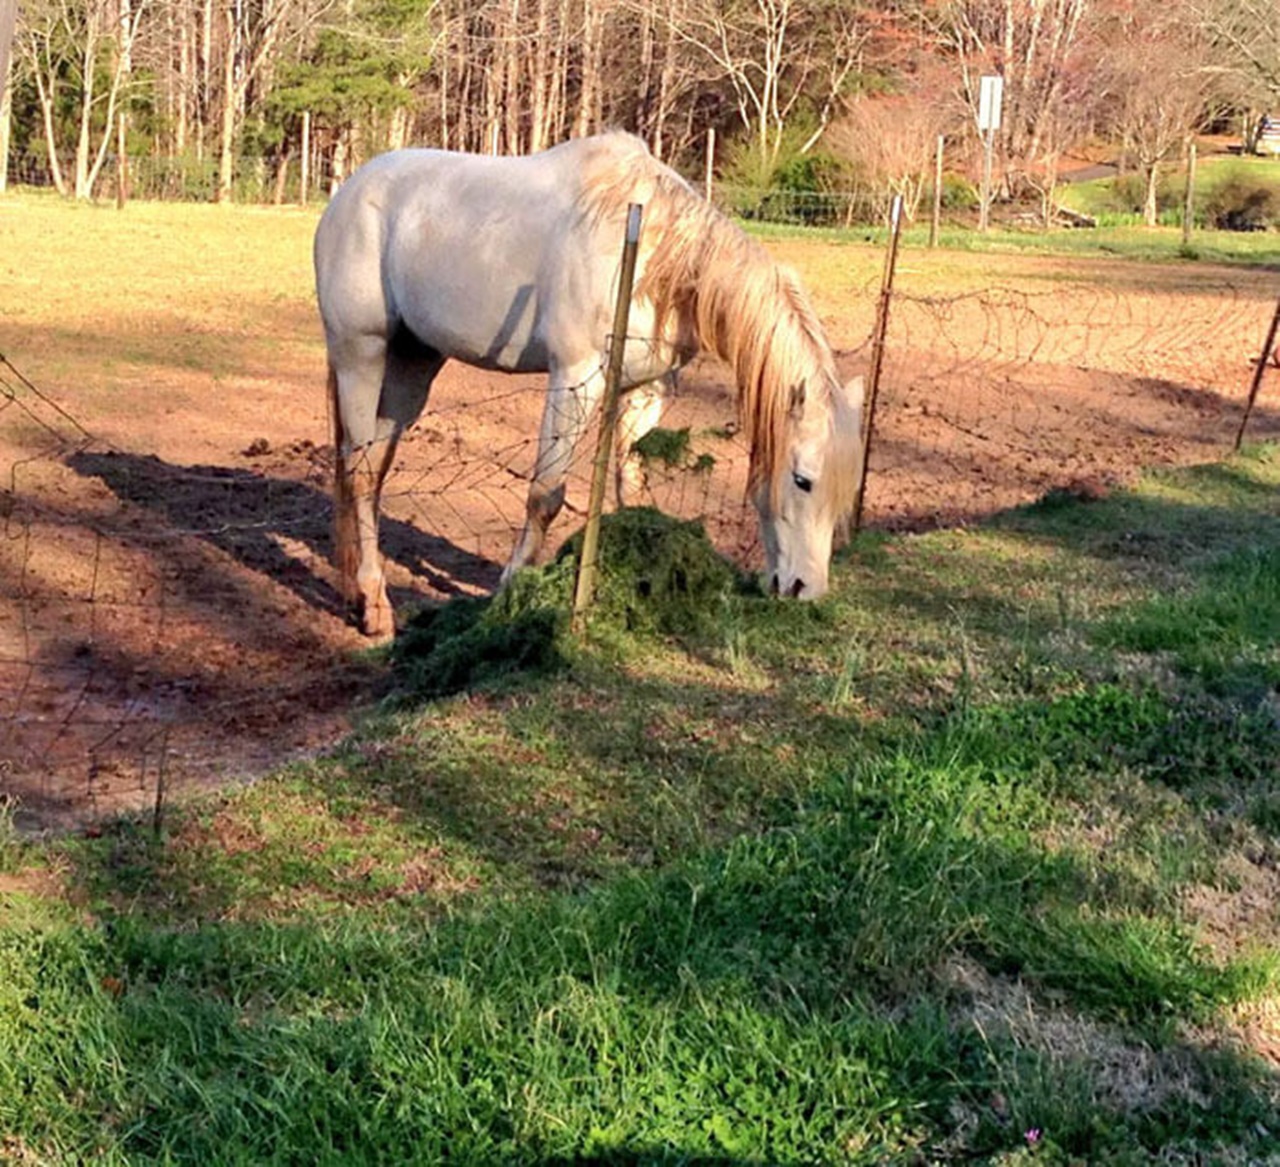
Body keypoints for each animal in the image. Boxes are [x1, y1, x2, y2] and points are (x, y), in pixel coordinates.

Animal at [314, 133, 865, 642]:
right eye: (802, 479)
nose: (805, 589)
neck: (656, 256)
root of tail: (349, 192)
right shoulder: (576, 378)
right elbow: (545, 496)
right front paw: (510, 594)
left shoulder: (646, 390)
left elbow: (629, 487)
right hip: (361, 355)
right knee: (360, 473)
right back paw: (376, 607)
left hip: (413, 366)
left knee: (375, 467)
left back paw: (358, 591)